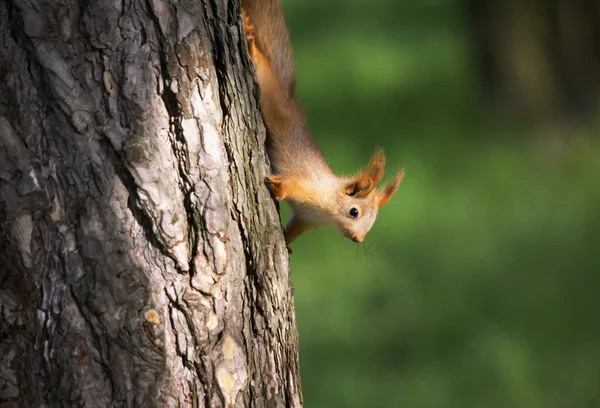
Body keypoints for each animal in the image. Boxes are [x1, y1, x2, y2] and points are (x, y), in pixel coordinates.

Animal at [241, 0, 406, 249]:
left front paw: (287, 245)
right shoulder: (309, 187)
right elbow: (292, 183)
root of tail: (288, 95)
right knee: (262, 64)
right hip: (270, 95)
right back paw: (249, 38)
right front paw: (278, 186)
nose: (358, 239)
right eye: (354, 212)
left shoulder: (304, 220)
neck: (325, 211)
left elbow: (293, 231)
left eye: (372, 223)